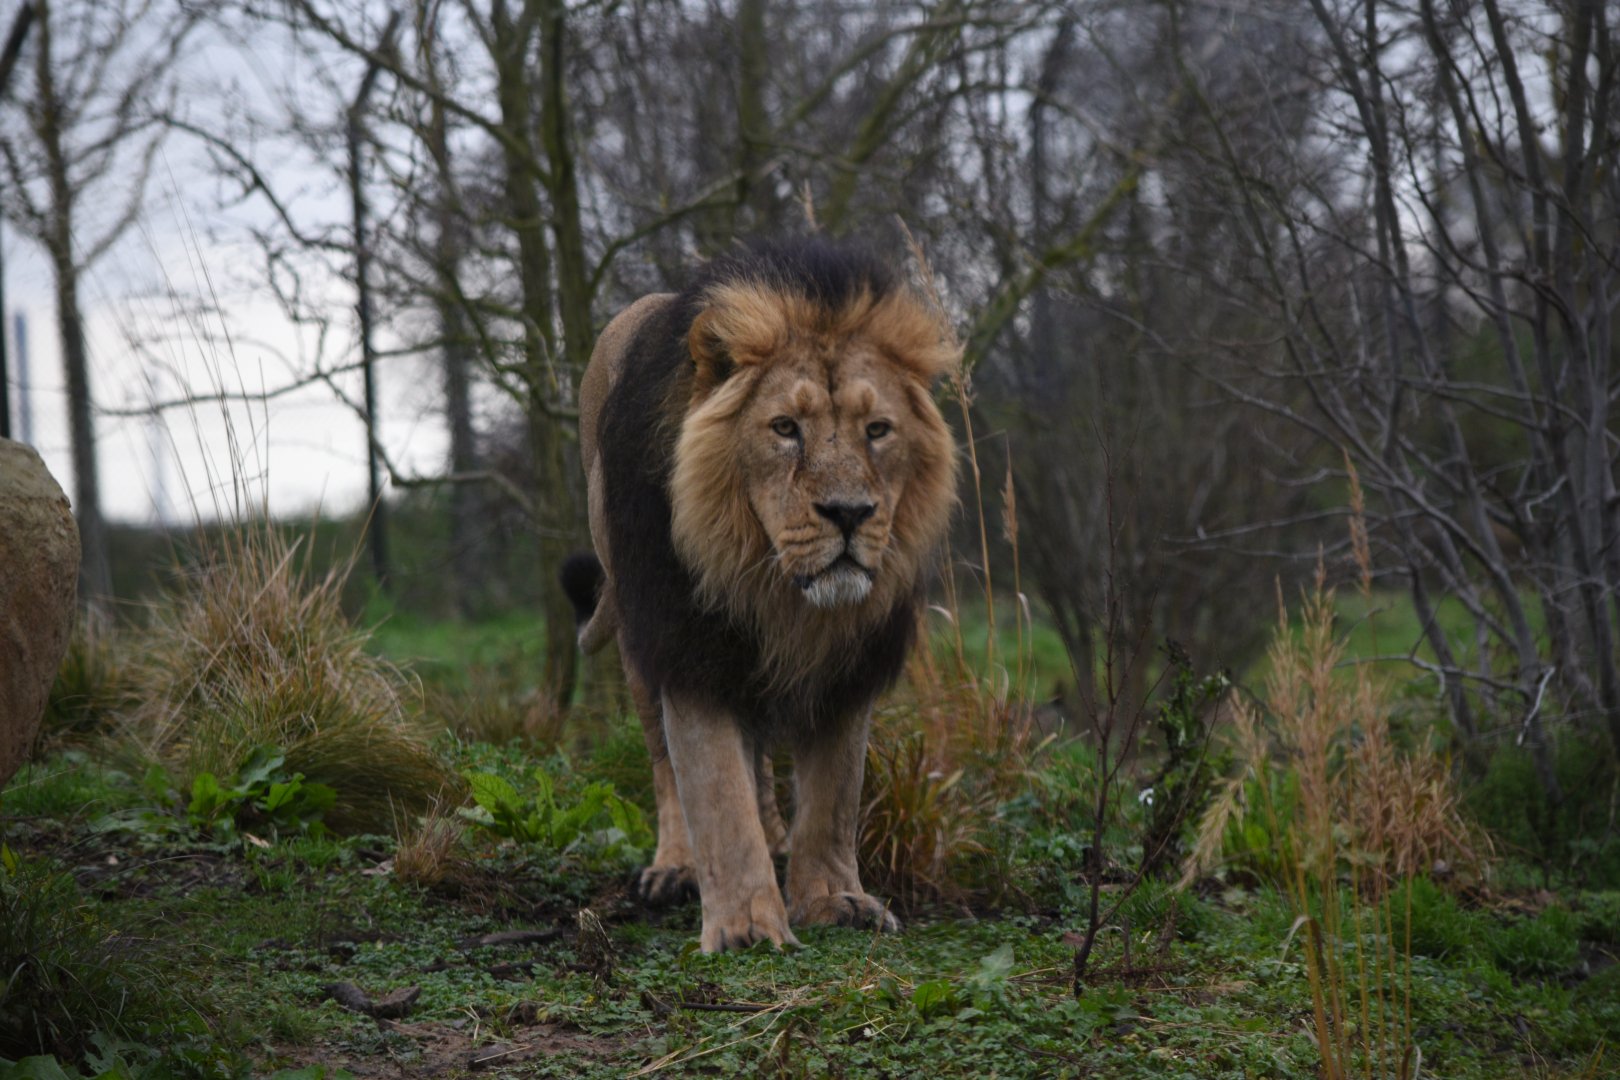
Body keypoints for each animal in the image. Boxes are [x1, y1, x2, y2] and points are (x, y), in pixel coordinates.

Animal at [562, 238, 958, 952]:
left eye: (878, 429)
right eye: (784, 428)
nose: (850, 513)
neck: (779, 593)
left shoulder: (851, 660)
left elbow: (834, 795)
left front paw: (834, 899)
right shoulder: (687, 643)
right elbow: (715, 788)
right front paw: (746, 924)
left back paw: (775, 837)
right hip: (635, 630)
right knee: (665, 764)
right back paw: (677, 867)